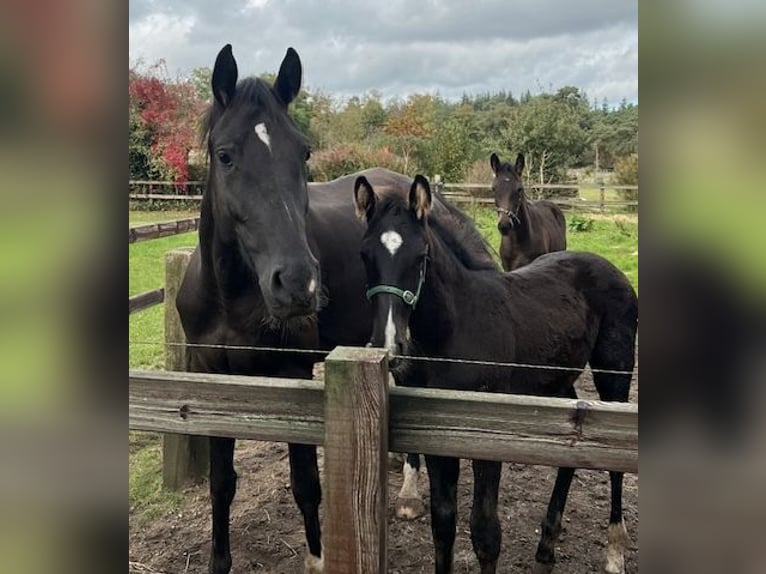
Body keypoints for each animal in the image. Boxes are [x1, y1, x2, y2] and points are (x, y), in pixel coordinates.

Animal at [356, 174, 640, 574]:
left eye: (421, 256)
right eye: (365, 255)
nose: (388, 343)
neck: (457, 326)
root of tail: (611, 267)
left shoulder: (485, 437)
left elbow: (485, 533)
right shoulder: (436, 436)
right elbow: (443, 526)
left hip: (613, 371)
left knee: (615, 464)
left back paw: (614, 551)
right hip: (554, 383)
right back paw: (546, 547)